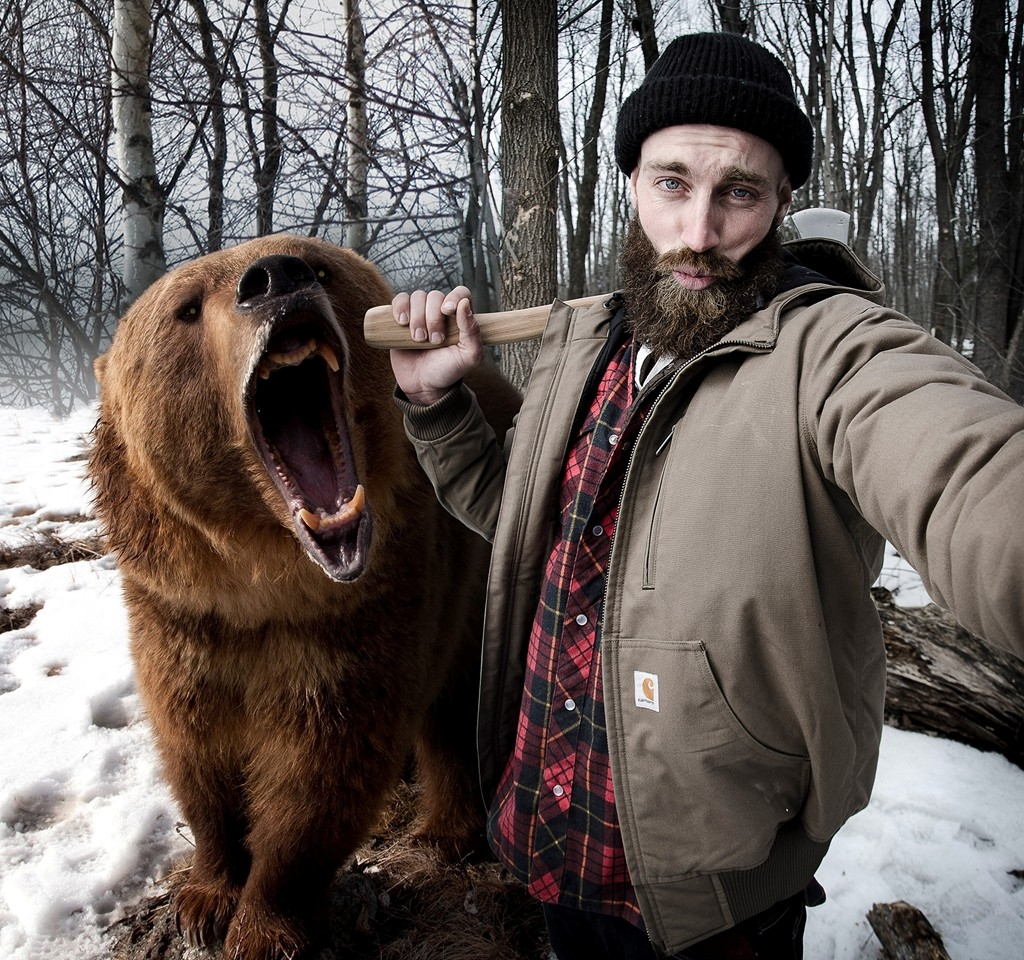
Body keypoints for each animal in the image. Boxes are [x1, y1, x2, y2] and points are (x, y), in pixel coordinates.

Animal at [88, 235, 520, 957]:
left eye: (318, 265)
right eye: (185, 307)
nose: (275, 279)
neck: (263, 584)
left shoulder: (357, 618)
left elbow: (321, 772)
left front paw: (263, 926)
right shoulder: (180, 616)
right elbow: (196, 753)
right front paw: (205, 897)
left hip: (473, 585)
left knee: (454, 708)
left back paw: (444, 833)